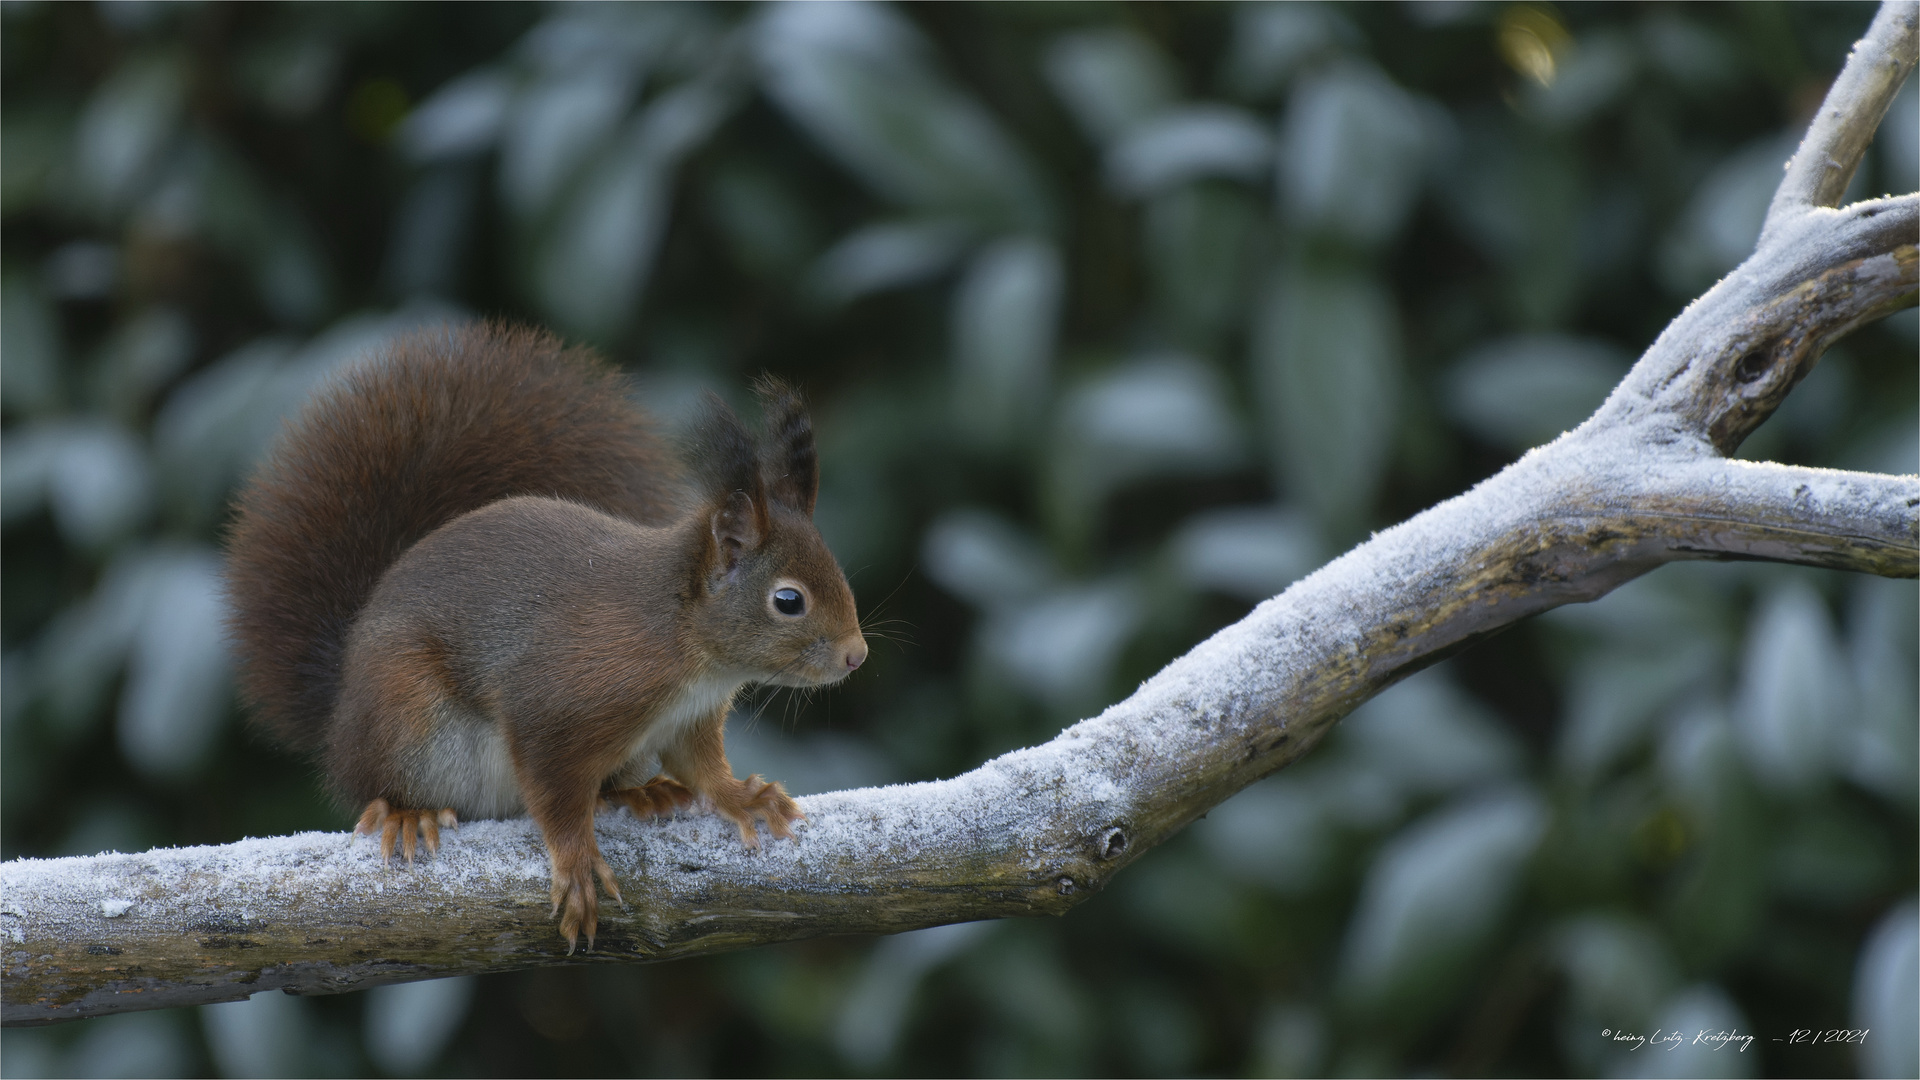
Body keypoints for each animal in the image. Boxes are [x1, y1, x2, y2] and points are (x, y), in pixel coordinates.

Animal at [219, 322, 871, 945]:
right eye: (788, 601)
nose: (856, 655)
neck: (686, 648)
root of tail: (341, 708)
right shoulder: (560, 702)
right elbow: (553, 791)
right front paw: (577, 863)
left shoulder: (689, 719)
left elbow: (704, 770)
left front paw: (743, 797)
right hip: (406, 713)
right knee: (378, 782)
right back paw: (407, 813)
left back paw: (637, 793)